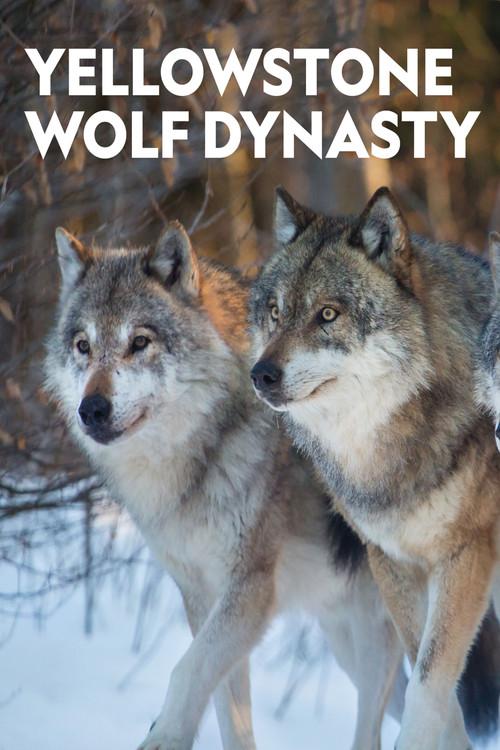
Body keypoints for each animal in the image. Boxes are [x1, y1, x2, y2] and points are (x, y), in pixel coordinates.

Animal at [45, 222, 407, 750]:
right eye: (82, 346)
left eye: (139, 342)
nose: (91, 409)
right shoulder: (202, 597)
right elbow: (225, 709)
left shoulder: (250, 589)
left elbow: (185, 672)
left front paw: (163, 736)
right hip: (353, 639)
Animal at [250, 187, 500, 750]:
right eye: (275, 312)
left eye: (328, 314)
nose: (260, 374)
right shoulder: (393, 562)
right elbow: (437, 686)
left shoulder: (466, 556)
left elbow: (429, 684)